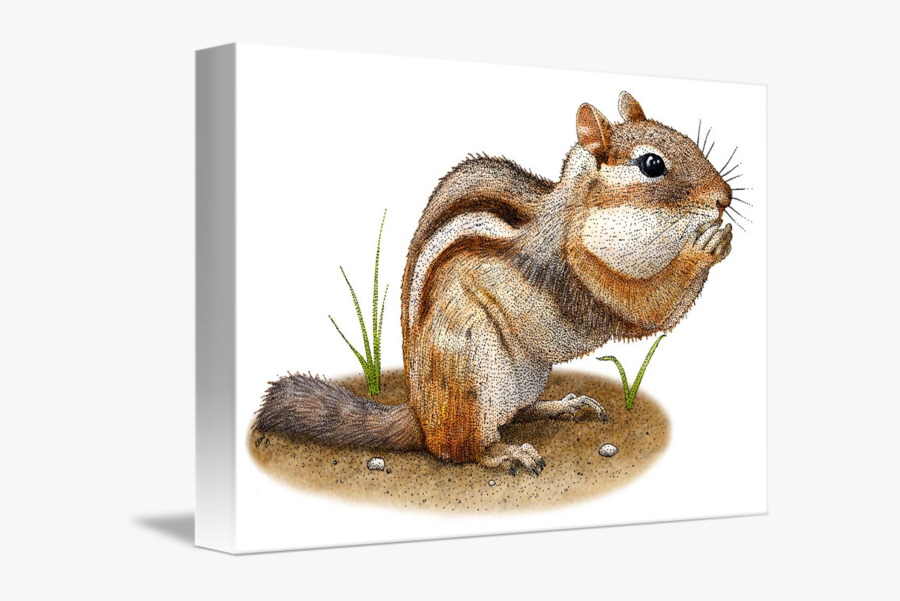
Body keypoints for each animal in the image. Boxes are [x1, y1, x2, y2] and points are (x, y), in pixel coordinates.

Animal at [255, 92, 733, 475]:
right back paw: (506, 454)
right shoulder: (577, 272)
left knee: (518, 414)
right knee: (458, 449)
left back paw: (564, 405)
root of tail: (420, 414)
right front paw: (705, 245)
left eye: (688, 140)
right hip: (471, 375)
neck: (577, 214)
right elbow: (646, 308)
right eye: (652, 164)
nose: (724, 198)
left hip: (525, 374)